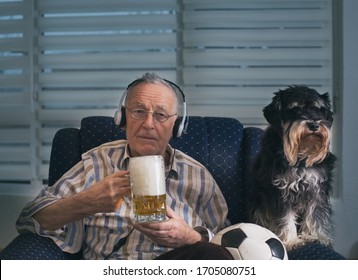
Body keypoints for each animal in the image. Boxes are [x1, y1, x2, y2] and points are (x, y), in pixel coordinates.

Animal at [248, 86, 338, 252]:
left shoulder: (317, 190)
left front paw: (315, 236)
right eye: (295, 108)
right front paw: (291, 241)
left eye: (318, 109)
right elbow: (285, 217)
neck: (301, 156)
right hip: (258, 205)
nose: (314, 125)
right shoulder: (280, 191)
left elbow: (316, 214)